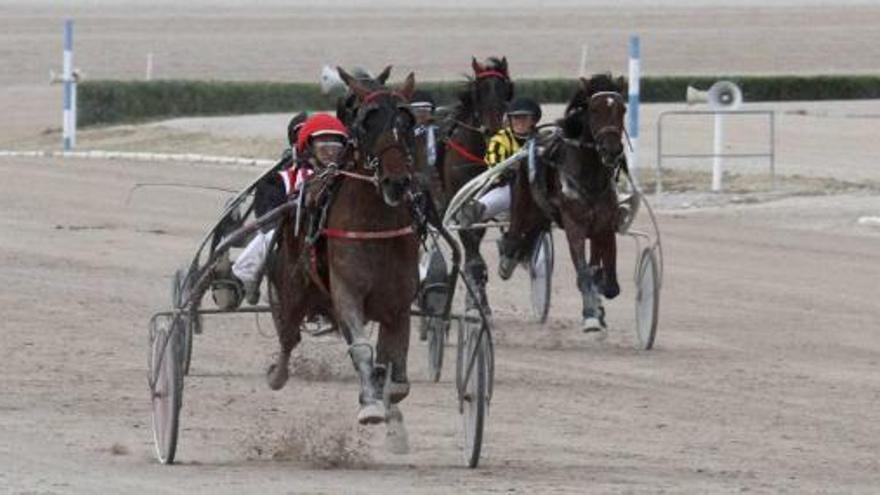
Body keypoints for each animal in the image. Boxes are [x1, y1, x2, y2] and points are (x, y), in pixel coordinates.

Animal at [264, 66, 420, 424]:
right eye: (367, 122)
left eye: (407, 120)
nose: (396, 181)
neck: (376, 225)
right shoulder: (347, 290)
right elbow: (361, 347)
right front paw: (371, 404)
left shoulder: (398, 303)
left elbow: (398, 372)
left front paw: (385, 389)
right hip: (294, 287)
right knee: (288, 334)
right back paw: (276, 373)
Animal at [508, 73, 624, 334]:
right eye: (594, 109)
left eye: (622, 109)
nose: (612, 150)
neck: (589, 176)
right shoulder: (574, 225)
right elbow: (583, 273)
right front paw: (591, 316)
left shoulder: (604, 224)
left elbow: (608, 282)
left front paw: (599, 302)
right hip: (524, 199)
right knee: (516, 231)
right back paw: (506, 259)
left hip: (544, 214)